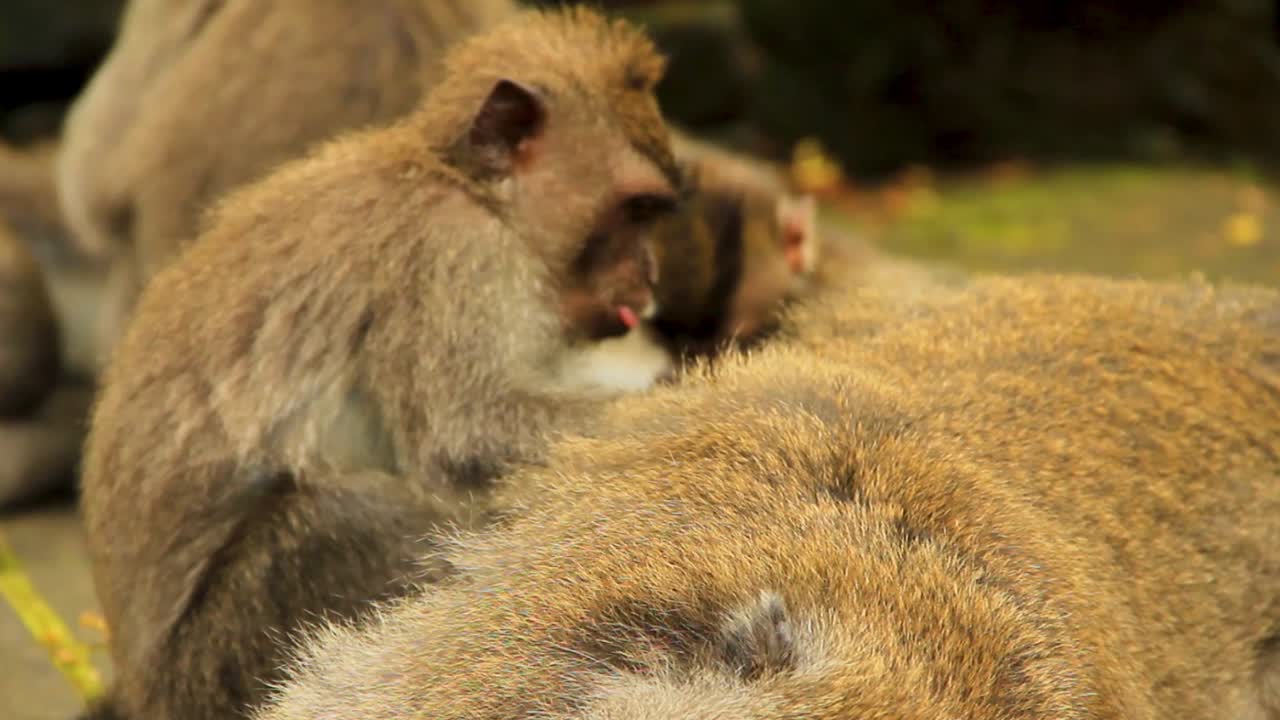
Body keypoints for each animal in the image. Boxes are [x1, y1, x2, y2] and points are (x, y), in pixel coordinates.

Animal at [78, 7, 681, 719]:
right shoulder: (455, 252)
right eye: (635, 210)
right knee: (342, 516)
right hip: (211, 667)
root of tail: (143, 692)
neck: (461, 184)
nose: (650, 278)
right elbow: (469, 436)